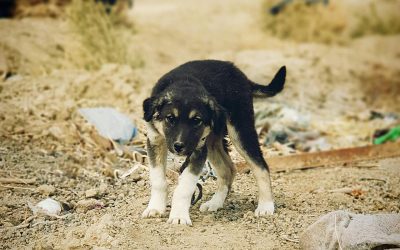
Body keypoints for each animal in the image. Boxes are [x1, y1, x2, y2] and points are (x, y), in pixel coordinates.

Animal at [142, 59, 286, 226]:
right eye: (170, 118)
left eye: (196, 120)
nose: (179, 147)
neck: (183, 83)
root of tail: (239, 73)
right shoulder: (155, 141)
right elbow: (158, 180)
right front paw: (155, 208)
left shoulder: (198, 150)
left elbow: (184, 188)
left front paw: (179, 216)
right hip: (212, 141)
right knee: (228, 169)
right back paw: (215, 203)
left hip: (240, 131)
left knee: (260, 166)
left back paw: (266, 206)